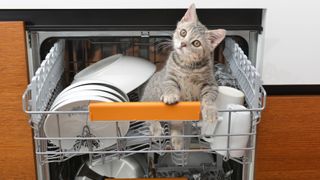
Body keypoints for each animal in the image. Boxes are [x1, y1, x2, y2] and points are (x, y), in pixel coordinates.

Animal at [141, 4, 226, 150]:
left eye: (196, 43)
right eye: (183, 33)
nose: (183, 44)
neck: (187, 67)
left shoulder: (211, 84)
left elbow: (209, 98)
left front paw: (210, 111)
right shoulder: (169, 77)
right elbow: (170, 86)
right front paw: (170, 95)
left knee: (176, 124)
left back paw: (177, 139)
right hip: (149, 100)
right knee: (149, 116)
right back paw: (156, 128)